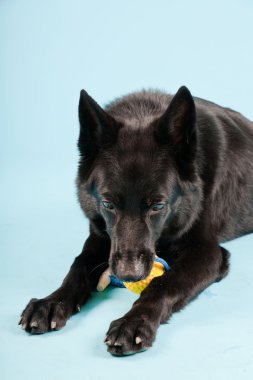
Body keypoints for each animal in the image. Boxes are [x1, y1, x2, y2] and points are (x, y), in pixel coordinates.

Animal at [19, 86, 253, 356]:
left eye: (158, 206)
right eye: (108, 204)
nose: (129, 275)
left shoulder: (206, 252)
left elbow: (165, 282)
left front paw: (134, 321)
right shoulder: (100, 236)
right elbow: (78, 266)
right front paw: (51, 302)